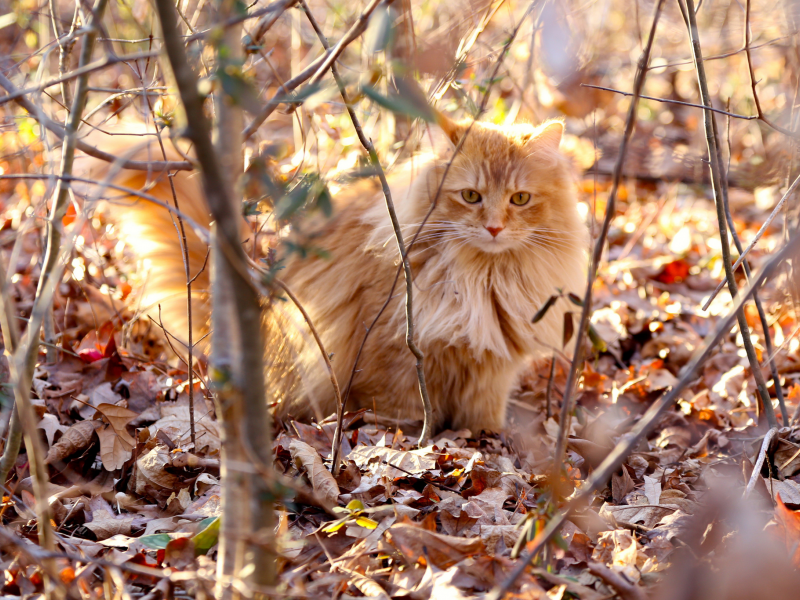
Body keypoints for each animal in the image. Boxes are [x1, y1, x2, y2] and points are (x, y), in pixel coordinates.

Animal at [98, 115, 588, 434]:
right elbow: (405, 412)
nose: (494, 227)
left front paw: (484, 441)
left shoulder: (491, 367)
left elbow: (482, 417)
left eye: (520, 199)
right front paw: (416, 441)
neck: (482, 277)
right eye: (471, 196)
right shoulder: (396, 354)